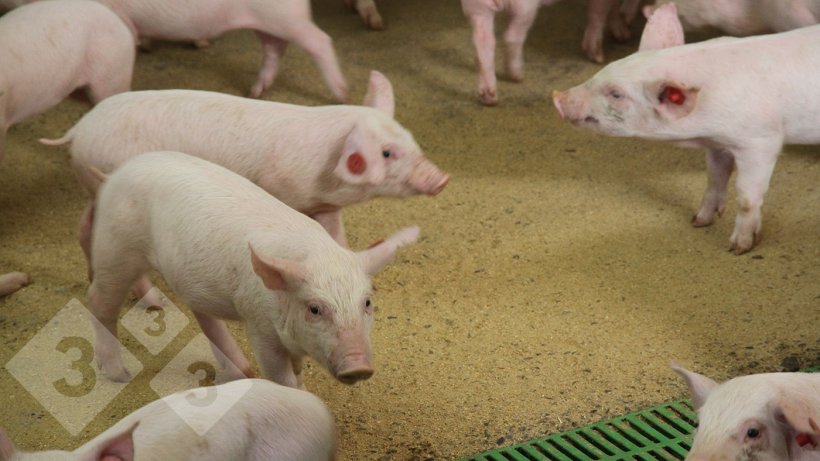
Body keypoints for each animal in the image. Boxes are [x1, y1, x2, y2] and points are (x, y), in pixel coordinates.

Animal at [91, 150, 416, 384]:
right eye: (315, 309)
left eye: (367, 303)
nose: (358, 367)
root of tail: (113, 175)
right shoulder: (258, 323)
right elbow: (282, 377)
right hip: (116, 246)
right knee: (99, 300)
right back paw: (119, 375)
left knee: (202, 314)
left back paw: (242, 372)